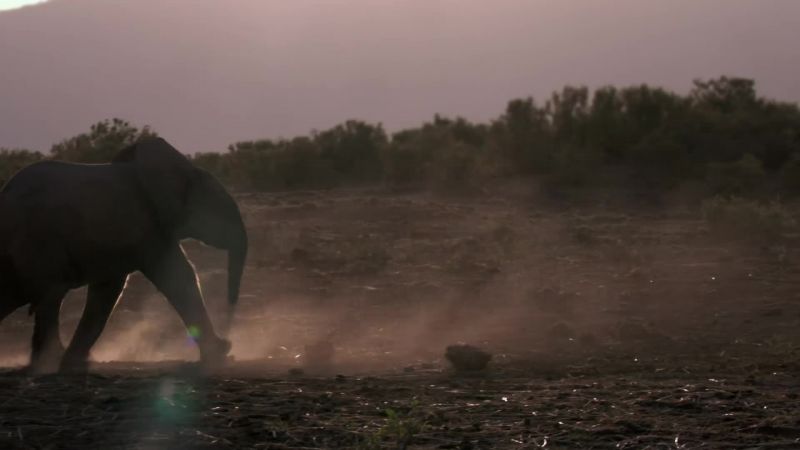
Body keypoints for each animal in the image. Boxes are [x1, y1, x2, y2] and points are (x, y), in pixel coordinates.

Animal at [0, 137, 248, 373]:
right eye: (221, 210)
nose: (229, 334)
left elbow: (108, 291)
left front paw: (75, 363)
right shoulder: (146, 227)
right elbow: (177, 276)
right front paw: (220, 354)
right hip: (38, 242)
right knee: (50, 296)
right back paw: (44, 364)